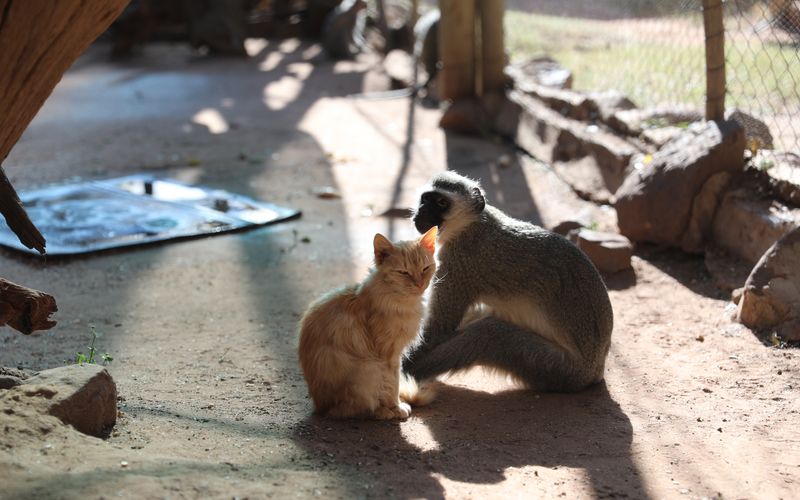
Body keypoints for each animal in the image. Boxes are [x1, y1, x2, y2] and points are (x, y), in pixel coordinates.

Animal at [298, 229, 438, 420]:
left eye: (425, 268)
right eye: (404, 272)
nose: (419, 284)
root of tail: (320, 407)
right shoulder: (389, 356)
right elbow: (393, 385)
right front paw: (396, 407)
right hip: (369, 369)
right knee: (355, 409)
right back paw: (384, 412)